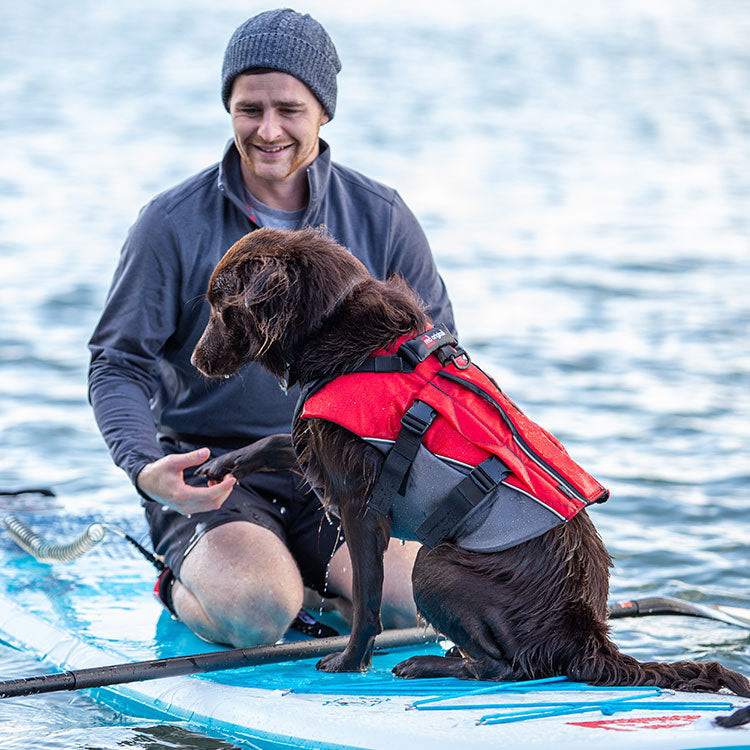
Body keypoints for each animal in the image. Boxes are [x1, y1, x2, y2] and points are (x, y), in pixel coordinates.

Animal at [192, 226, 750, 704]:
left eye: (220, 306)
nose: (196, 361)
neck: (334, 325)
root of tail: (587, 635)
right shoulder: (323, 451)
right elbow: (274, 442)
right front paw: (218, 468)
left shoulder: (360, 502)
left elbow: (368, 601)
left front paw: (348, 663)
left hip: (433, 566)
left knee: (505, 667)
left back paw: (426, 664)